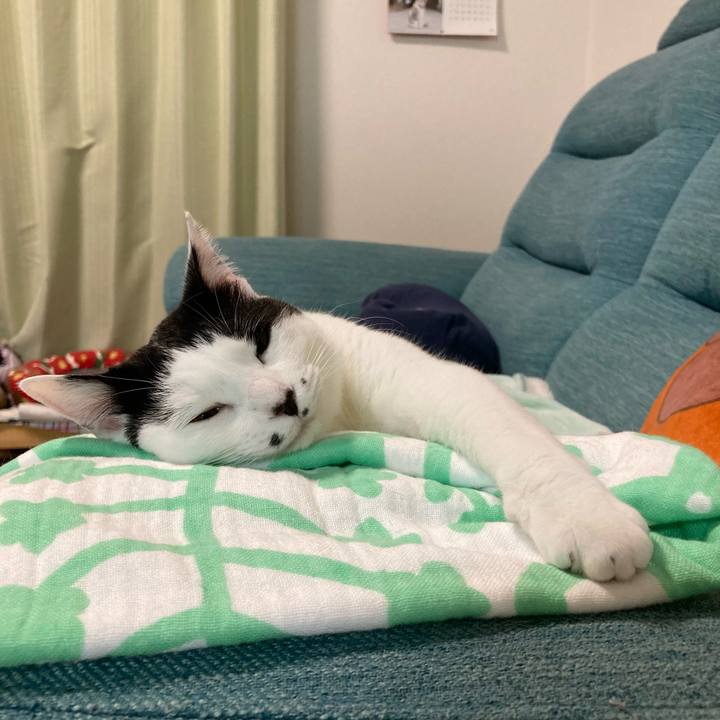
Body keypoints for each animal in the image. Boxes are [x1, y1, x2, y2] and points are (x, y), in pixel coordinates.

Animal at [22, 212, 653, 582]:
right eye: (207, 413)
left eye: (261, 343)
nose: (281, 398)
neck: (347, 412)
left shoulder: (437, 381)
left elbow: (511, 434)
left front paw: (587, 516)